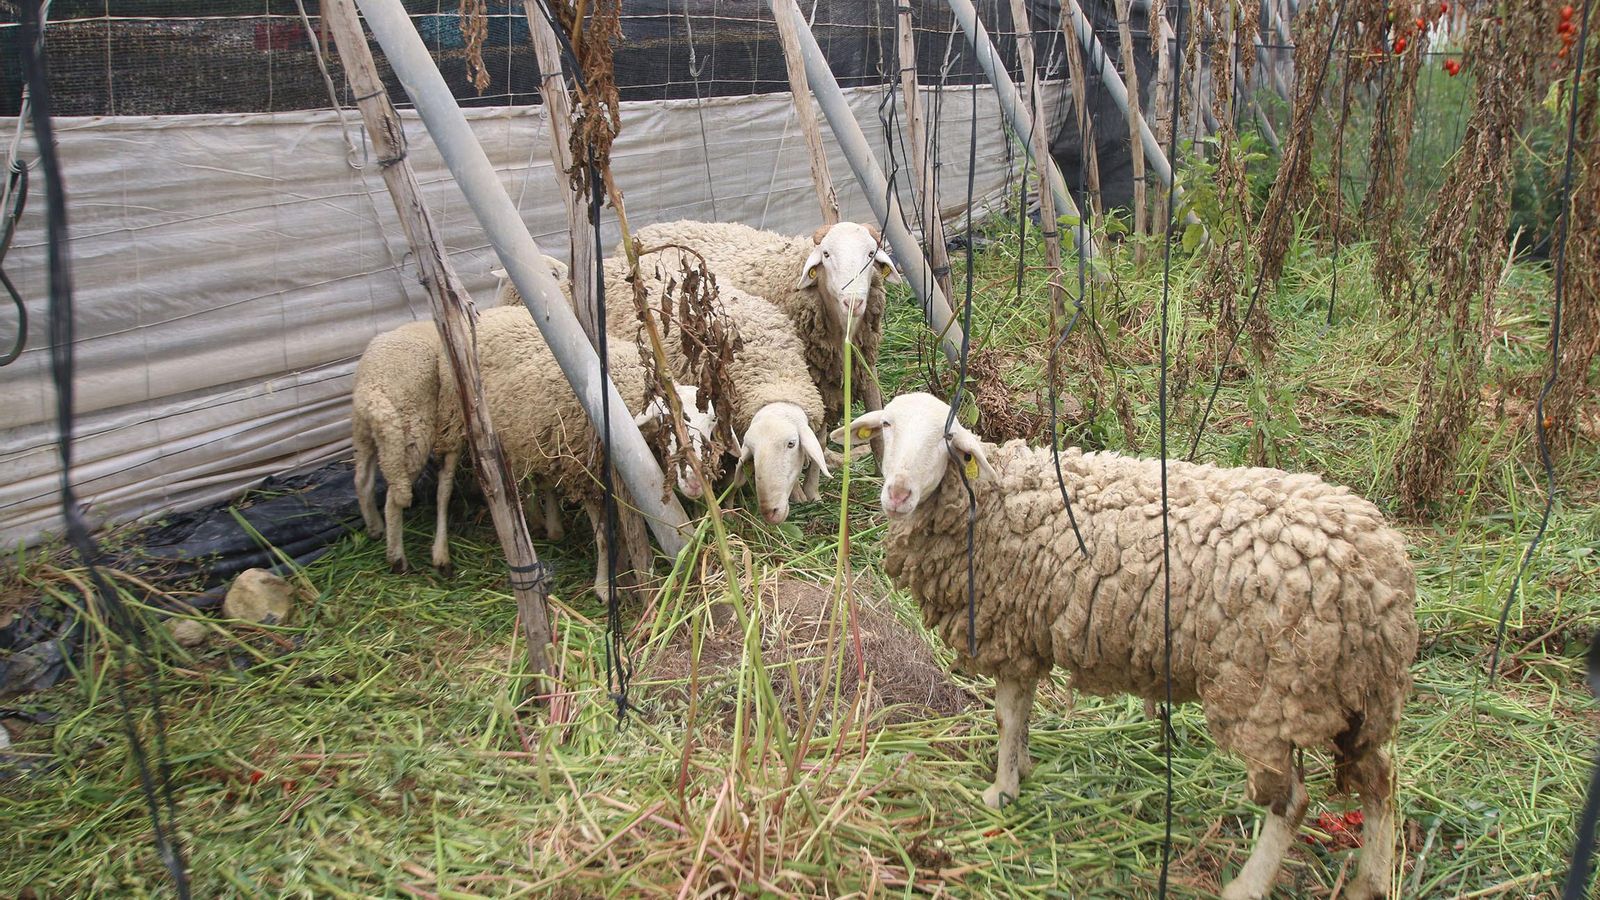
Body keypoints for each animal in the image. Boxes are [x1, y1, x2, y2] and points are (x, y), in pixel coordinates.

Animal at [835, 391, 1418, 900]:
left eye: (947, 440)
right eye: (887, 425)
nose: (898, 494)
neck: (993, 500)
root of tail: (1382, 570)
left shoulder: (1010, 631)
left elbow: (1006, 715)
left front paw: (1001, 791)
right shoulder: (1028, 632)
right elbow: (1021, 717)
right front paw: (1023, 767)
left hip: (1266, 694)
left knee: (1292, 803)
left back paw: (1247, 886)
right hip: (1354, 694)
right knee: (1380, 779)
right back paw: (1370, 880)